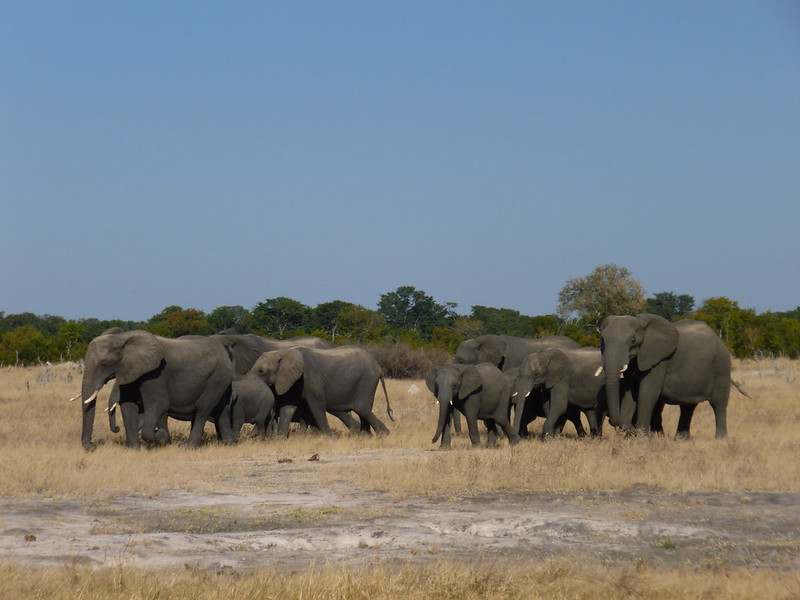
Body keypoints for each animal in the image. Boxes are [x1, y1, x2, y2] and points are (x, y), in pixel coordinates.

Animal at [600, 314, 732, 440]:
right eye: (602, 340)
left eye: (633, 340)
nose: (633, 429)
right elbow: (630, 393)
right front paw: (633, 432)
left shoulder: (660, 359)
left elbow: (647, 393)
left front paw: (642, 437)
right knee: (687, 407)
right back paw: (681, 440)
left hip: (722, 368)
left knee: (718, 404)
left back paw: (720, 440)